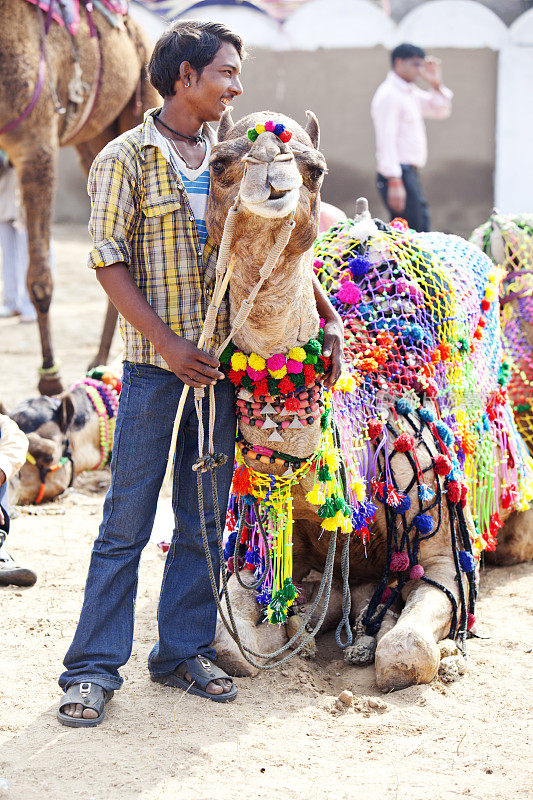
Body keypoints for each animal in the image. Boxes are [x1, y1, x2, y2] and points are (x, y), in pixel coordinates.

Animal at [0, 1, 158, 396]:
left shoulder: (37, 145)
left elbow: (40, 278)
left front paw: (50, 379)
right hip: (94, 140)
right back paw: (100, 360)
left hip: (138, 100)